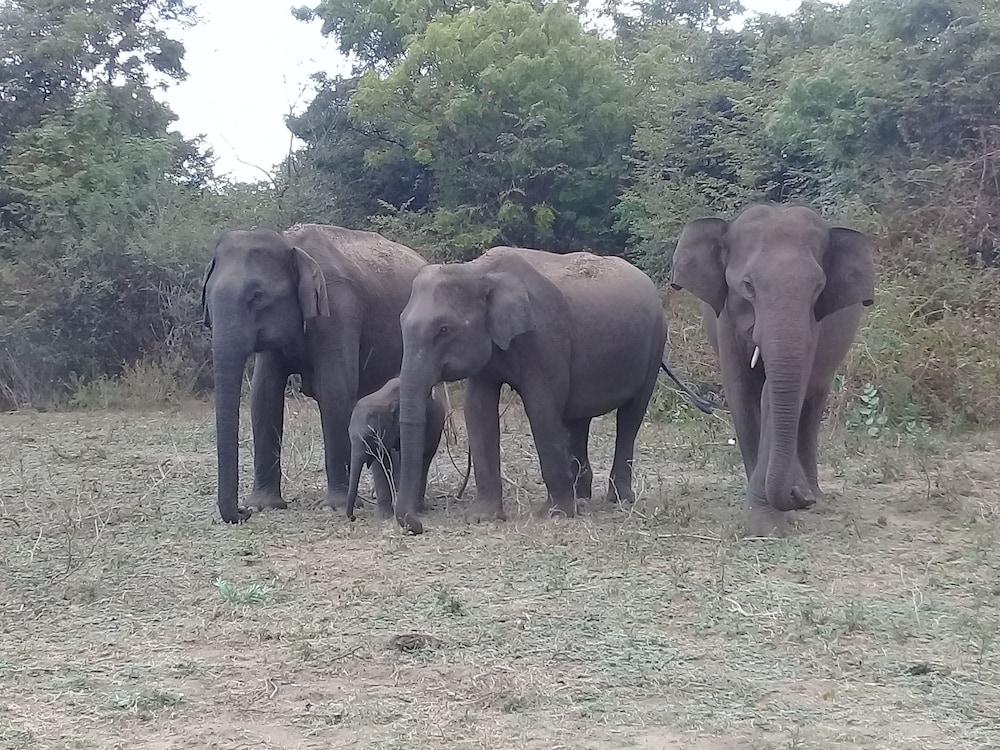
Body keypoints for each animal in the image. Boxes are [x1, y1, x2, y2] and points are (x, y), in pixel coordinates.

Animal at [201, 223, 427, 523]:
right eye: (208, 296)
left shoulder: (339, 309)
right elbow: (264, 395)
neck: (291, 245)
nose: (242, 511)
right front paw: (264, 506)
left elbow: (335, 390)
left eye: (257, 297)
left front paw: (334, 506)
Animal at [345, 377, 446, 521]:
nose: (353, 517)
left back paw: (417, 507)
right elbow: (380, 463)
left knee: (425, 459)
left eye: (370, 436)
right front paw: (384, 516)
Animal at [392, 245, 711, 535]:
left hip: (654, 345)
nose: (418, 526)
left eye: (443, 329)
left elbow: (541, 407)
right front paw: (482, 518)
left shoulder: (544, 335)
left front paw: (556, 514)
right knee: (578, 420)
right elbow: (478, 410)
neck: (478, 271)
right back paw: (581, 494)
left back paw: (618, 499)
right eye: (401, 323)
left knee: (630, 416)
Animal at [670, 203, 875, 537]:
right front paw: (767, 520)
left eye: (818, 288)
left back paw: (814, 493)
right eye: (747, 286)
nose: (798, 498)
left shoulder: (814, 327)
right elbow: (742, 394)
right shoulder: (725, 318)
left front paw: (771, 517)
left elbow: (775, 395)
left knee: (811, 409)